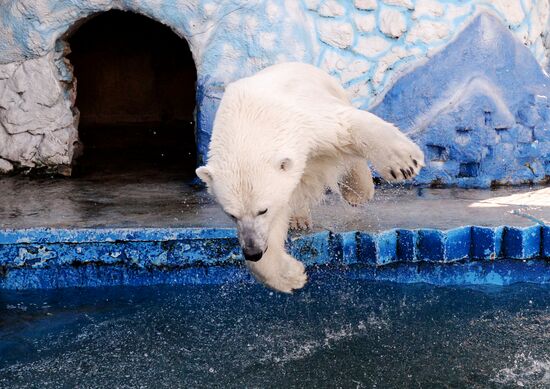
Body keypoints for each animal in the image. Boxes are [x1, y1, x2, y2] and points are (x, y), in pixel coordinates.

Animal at [198, 62, 426, 292]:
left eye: (263, 210)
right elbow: (276, 220)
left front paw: (405, 164)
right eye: (231, 215)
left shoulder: (302, 118)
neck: (249, 119)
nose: (252, 251)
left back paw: (357, 191)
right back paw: (299, 219)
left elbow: (345, 124)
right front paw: (291, 276)